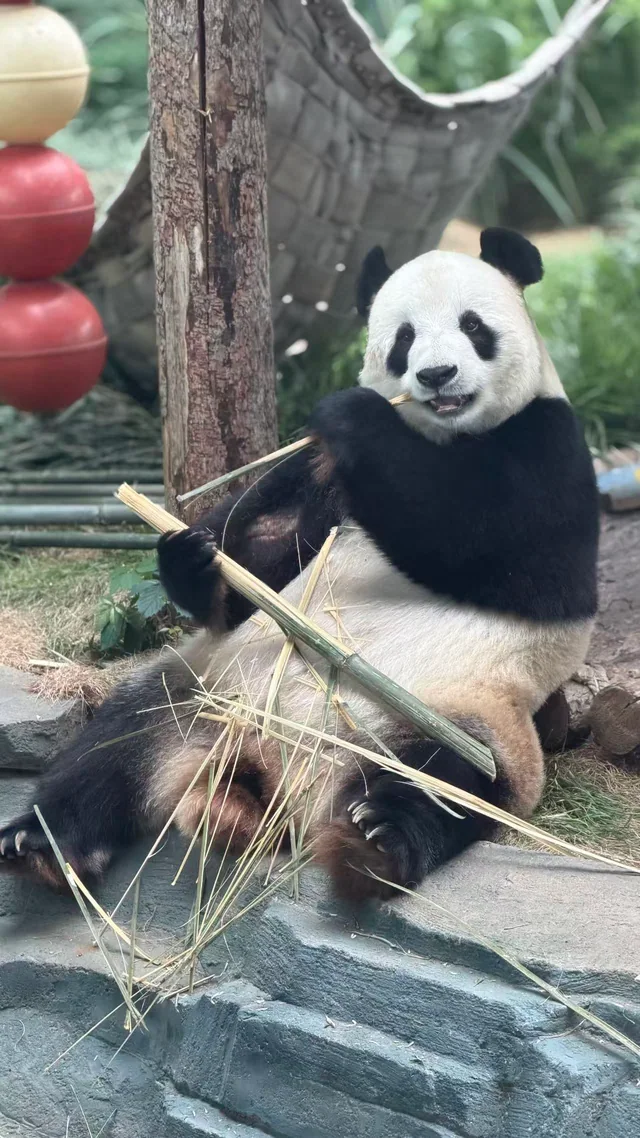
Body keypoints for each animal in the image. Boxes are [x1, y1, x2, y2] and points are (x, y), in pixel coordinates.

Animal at [0, 228, 599, 902]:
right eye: (405, 338)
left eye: (473, 326)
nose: (436, 374)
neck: (441, 438)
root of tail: (270, 766)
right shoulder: (318, 472)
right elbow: (261, 564)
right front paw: (192, 554)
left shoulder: (549, 443)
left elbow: (510, 557)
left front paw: (359, 416)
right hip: (199, 686)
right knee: (111, 747)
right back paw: (41, 844)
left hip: (465, 714)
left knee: (449, 780)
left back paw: (376, 839)